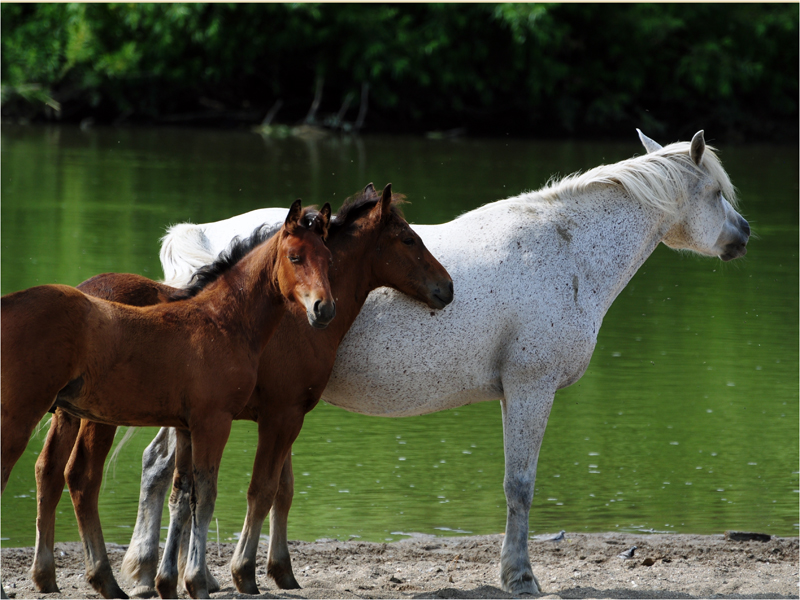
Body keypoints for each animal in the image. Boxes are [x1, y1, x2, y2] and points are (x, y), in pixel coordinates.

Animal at [122, 131, 748, 596]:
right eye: (716, 191)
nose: (742, 234)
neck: (567, 249)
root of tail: (200, 240)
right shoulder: (531, 389)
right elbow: (520, 485)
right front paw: (519, 576)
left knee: (168, 471)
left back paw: (160, 572)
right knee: (169, 471)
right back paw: (161, 573)